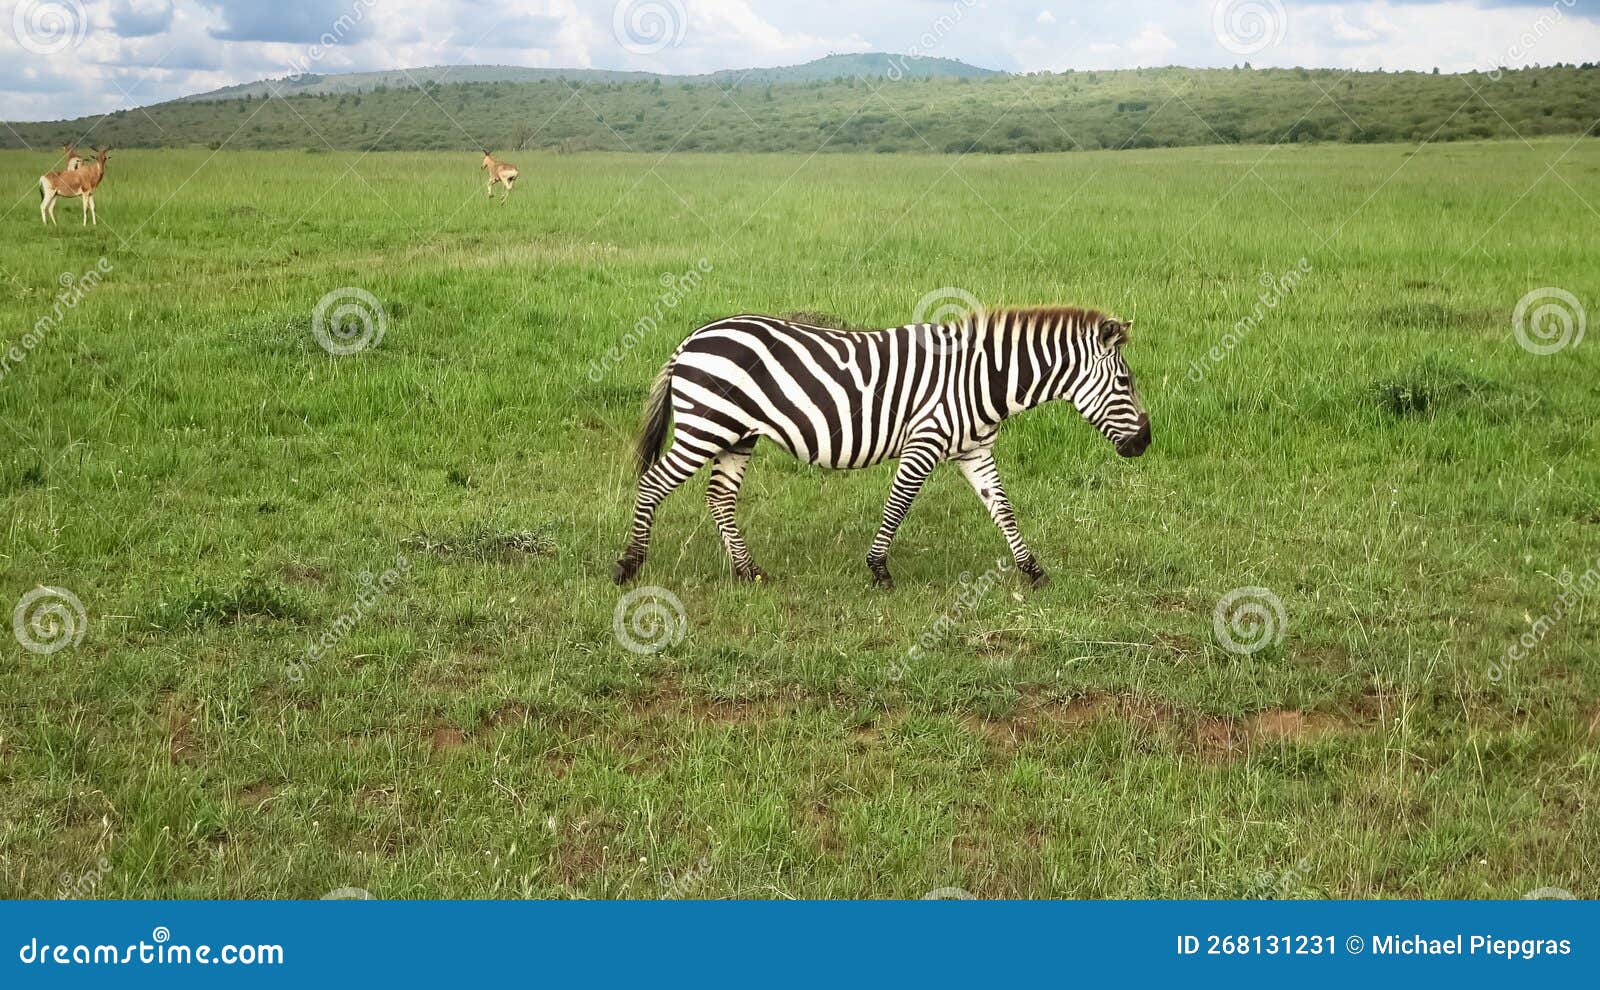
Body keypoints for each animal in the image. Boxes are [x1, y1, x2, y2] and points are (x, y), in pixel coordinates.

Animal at [612, 307, 1151, 589]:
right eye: (1125, 382)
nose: (1145, 442)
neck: (982, 379)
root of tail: (692, 340)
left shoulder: (974, 450)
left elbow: (1003, 510)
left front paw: (1033, 571)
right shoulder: (925, 440)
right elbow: (898, 505)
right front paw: (879, 570)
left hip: (736, 435)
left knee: (719, 498)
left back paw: (749, 572)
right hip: (706, 426)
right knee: (654, 483)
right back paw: (629, 565)